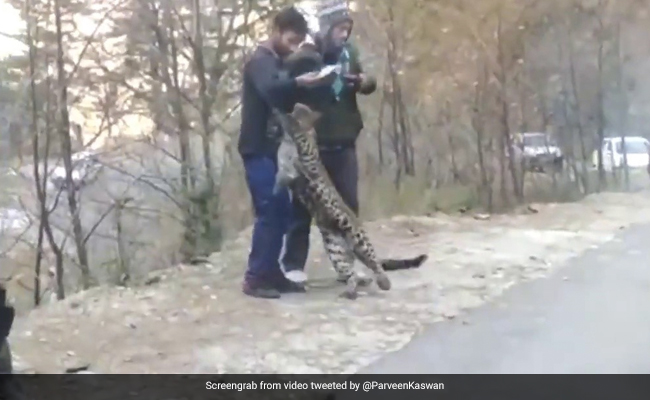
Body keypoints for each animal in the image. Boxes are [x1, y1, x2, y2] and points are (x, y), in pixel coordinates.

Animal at [272, 103, 428, 300]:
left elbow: (300, 146)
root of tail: (350, 248)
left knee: (375, 263)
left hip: (358, 239)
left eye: (302, 108)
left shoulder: (307, 154)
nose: (297, 104)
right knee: (351, 274)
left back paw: (383, 282)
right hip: (336, 251)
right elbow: (282, 174)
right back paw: (351, 291)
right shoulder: (285, 168)